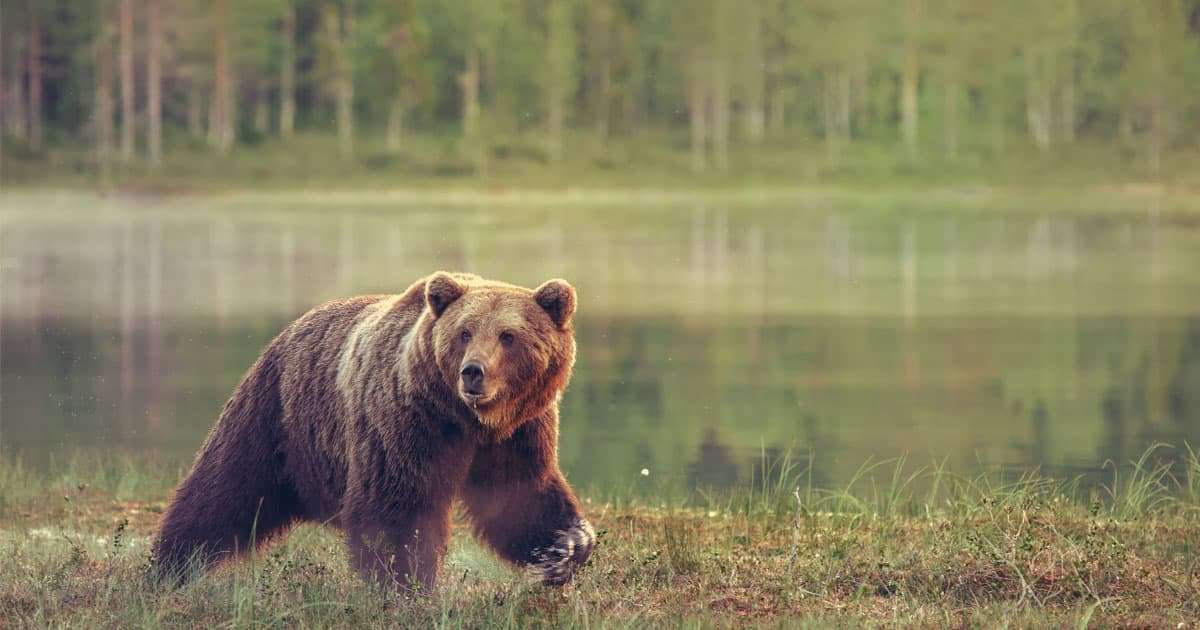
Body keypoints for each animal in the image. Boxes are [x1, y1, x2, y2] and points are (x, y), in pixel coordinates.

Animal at [151, 272, 594, 590]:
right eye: (464, 332)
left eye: (508, 336)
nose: (473, 372)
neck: (466, 419)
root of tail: (290, 328)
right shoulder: (408, 422)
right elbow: (396, 507)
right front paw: (407, 587)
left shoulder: (518, 433)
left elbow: (520, 496)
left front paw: (566, 546)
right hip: (277, 417)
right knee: (223, 491)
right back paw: (167, 569)